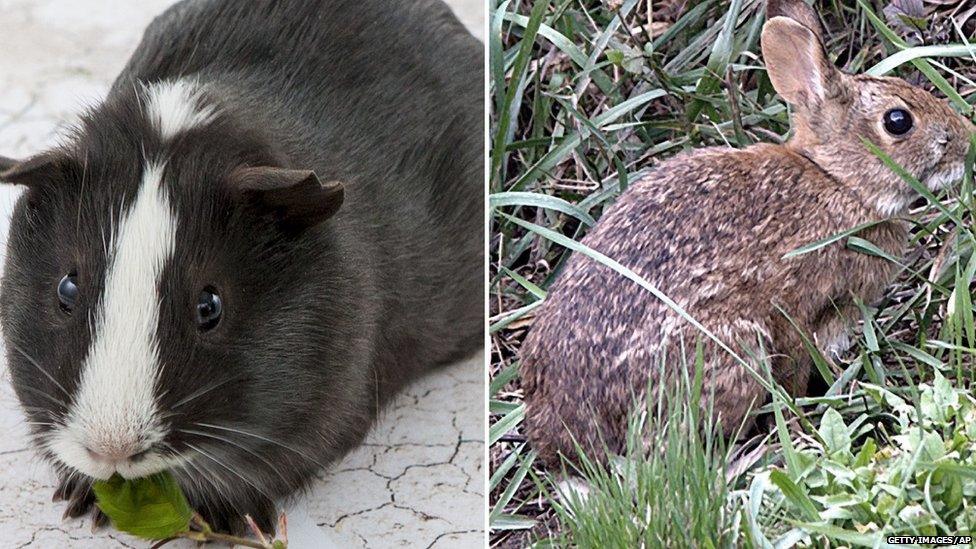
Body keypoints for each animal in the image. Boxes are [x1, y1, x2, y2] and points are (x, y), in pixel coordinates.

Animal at [520, 0, 976, 466]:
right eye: (898, 121)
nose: (968, 140)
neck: (837, 180)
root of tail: (563, 436)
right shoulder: (800, 311)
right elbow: (796, 364)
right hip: (732, 350)